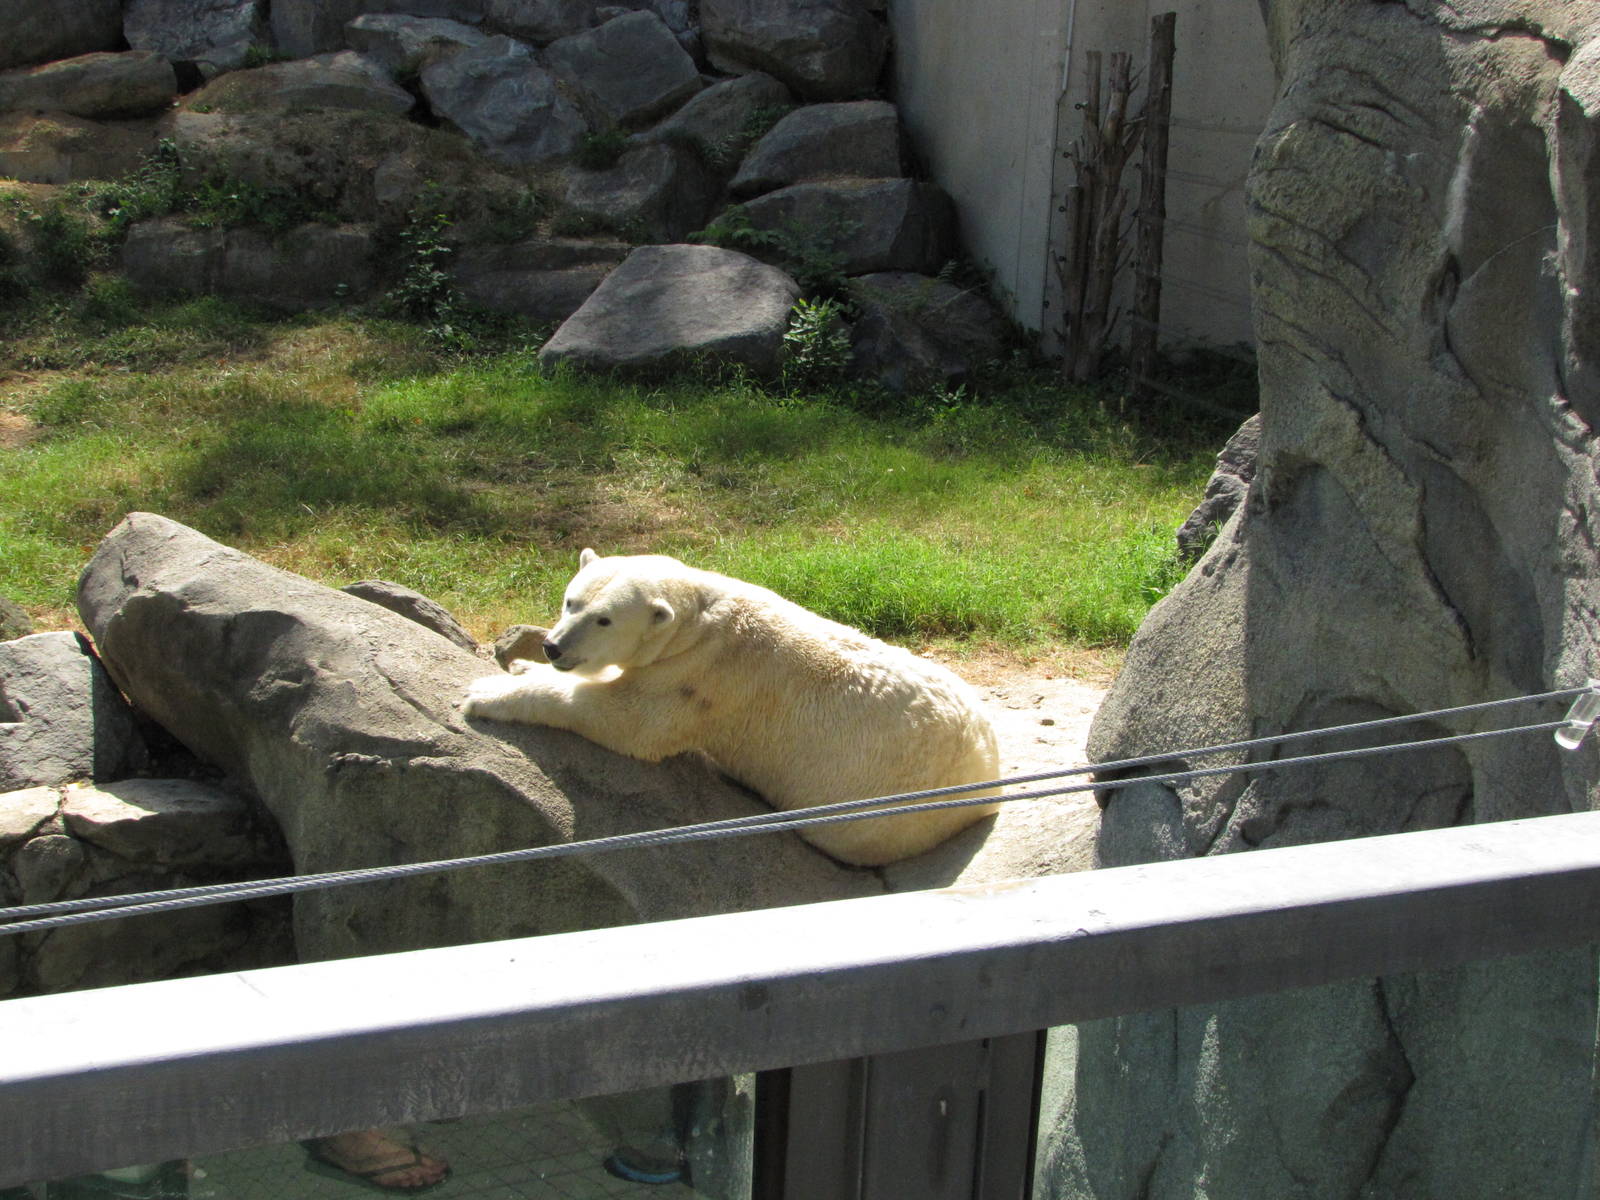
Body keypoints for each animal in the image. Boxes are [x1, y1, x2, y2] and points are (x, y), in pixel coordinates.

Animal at [462, 549, 1002, 866]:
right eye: (570, 601)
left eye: (604, 619)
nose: (554, 647)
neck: (699, 615)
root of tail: (990, 774)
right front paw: (522, 665)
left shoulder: (702, 678)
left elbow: (629, 721)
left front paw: (483, 693)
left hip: (883, 808)